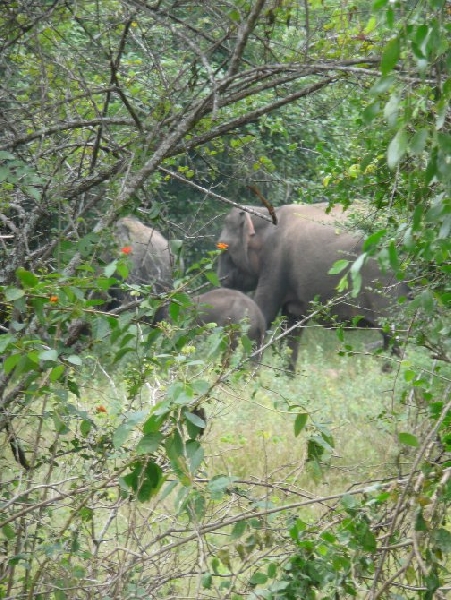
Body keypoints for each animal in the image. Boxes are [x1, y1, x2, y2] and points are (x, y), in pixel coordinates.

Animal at [219, 202, 410, 370]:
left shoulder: (275, 264)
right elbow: (291, 326)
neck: (263, 213)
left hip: (387, 282)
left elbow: (264, 314)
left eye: (224, 246)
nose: (221, 279)